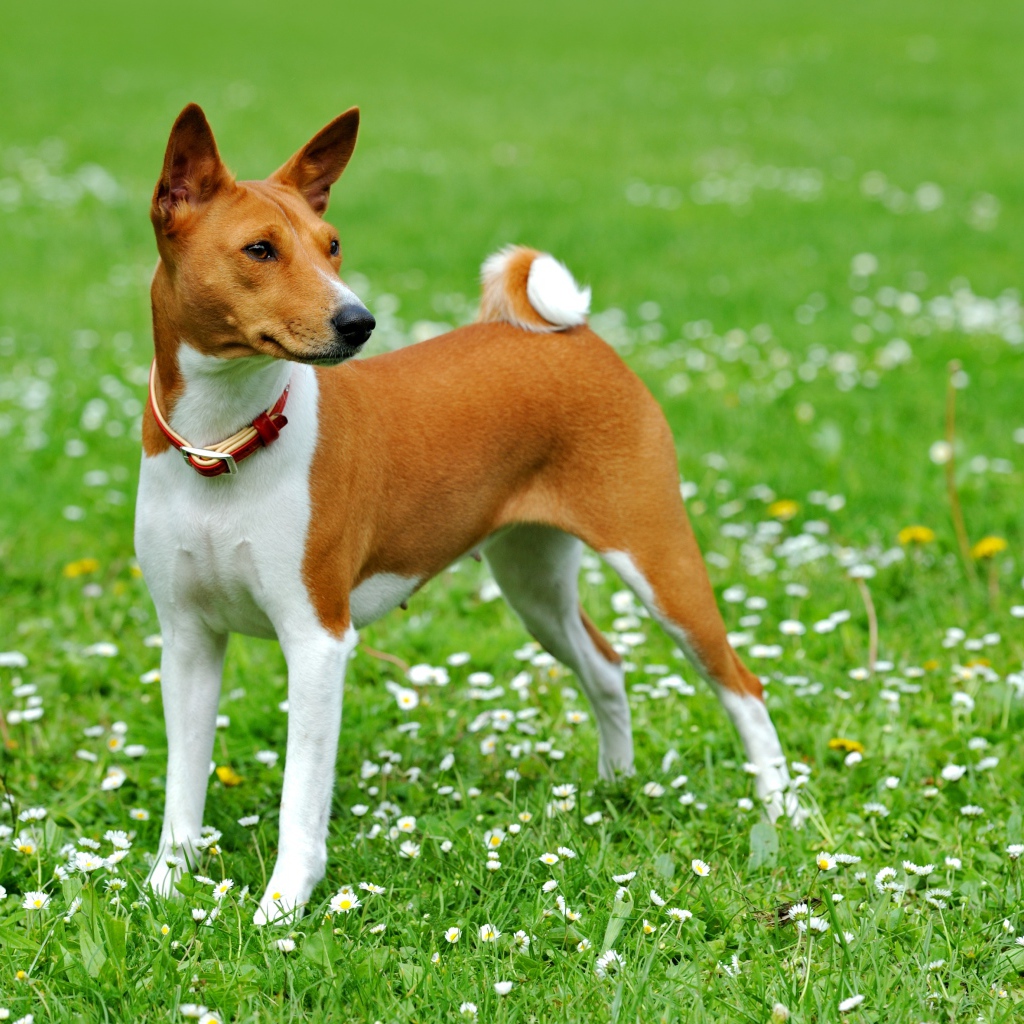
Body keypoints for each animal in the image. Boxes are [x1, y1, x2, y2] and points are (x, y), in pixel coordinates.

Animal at [136, 105, 794, 929]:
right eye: (260, 249)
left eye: (331, 245)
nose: (357, 321)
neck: (224, 446)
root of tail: (572, 336)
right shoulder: (188, 641)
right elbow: (182, 788)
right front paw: (165, 888)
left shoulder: (317, 640)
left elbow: (299, 799)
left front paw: (283, 907)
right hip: (534, 583)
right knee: (606, 665)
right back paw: (614, 789)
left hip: (658, 561)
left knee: (741, 684)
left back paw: (778, 810)